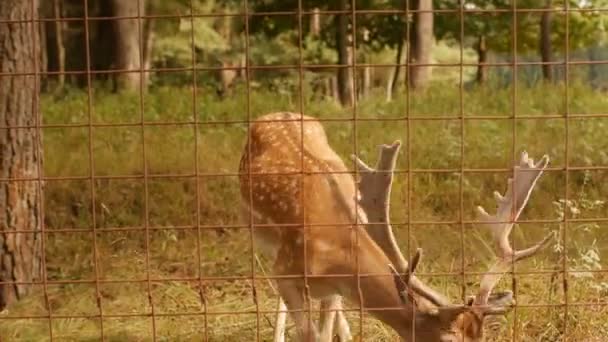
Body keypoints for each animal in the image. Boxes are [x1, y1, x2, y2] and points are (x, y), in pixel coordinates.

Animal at [239, 111, 552, 340]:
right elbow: (310, 335)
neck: (335, 253)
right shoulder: (286, 272)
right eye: (448, 339)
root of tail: (276, 112)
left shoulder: (332, 290)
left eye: (482, 338)